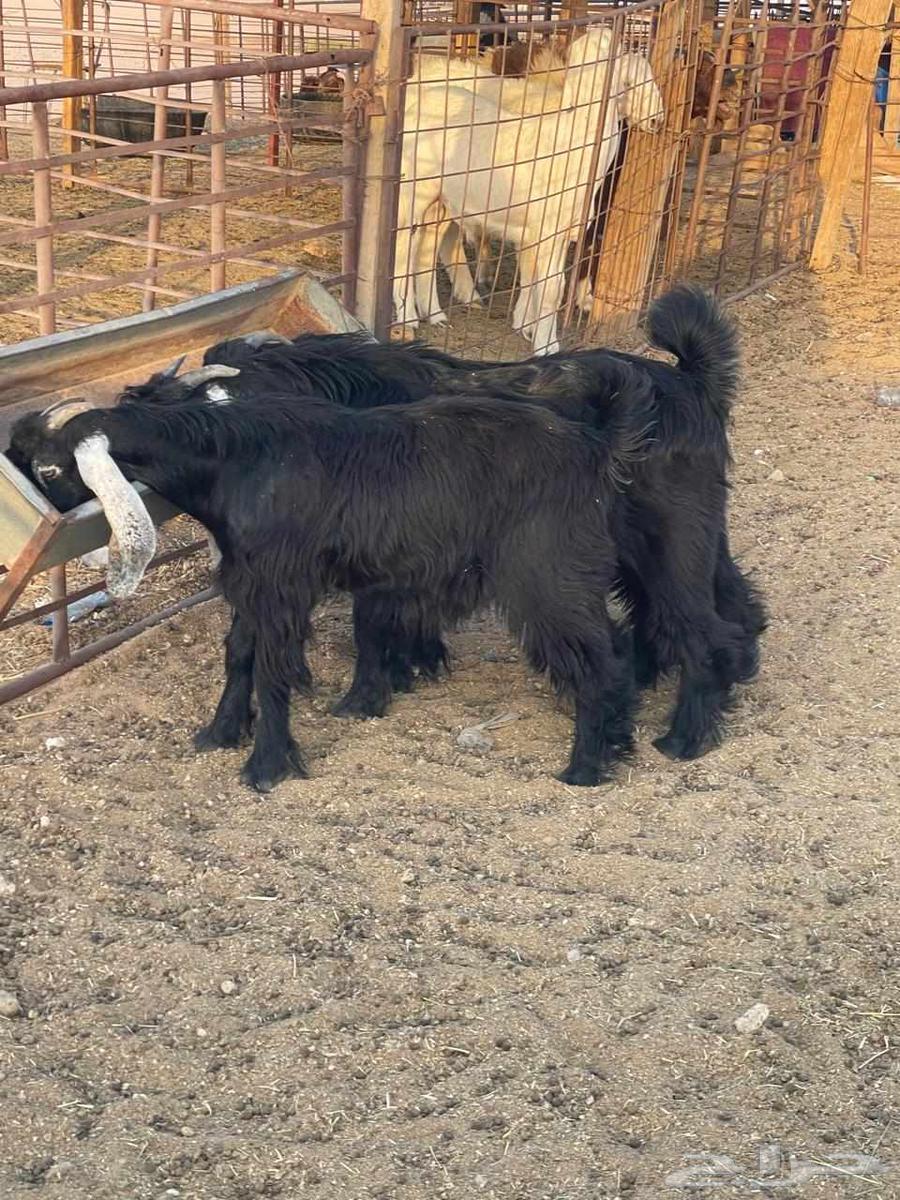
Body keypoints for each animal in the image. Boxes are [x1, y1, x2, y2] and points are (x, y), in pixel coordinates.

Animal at [7, 374, 649, 793]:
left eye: (50, 466)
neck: (237, 460)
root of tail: (596, 450)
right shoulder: (249, 582)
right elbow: (239, 655)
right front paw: (220, 732)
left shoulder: (281, 585)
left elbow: (272, 667)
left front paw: (267, 766)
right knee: (616, 649)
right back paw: (618, 741)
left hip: (548, 579)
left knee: (600, 659)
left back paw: (585, 767)